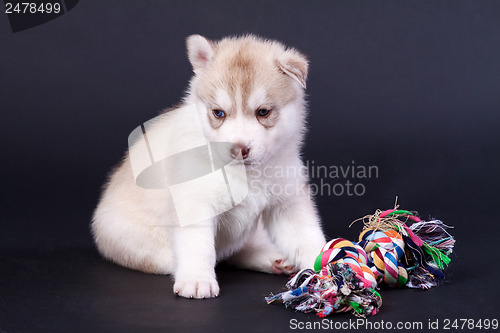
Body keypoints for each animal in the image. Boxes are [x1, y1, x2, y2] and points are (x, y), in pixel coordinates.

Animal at [92, 34, 326, 298]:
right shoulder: (195, 203)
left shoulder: (287, 204)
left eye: (263, 112)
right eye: (218, 113)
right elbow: (199, 246)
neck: (246, 175)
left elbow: (307, 237)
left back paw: (273, 259)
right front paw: (197, 280)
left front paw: (330, 268)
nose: (238, 149)